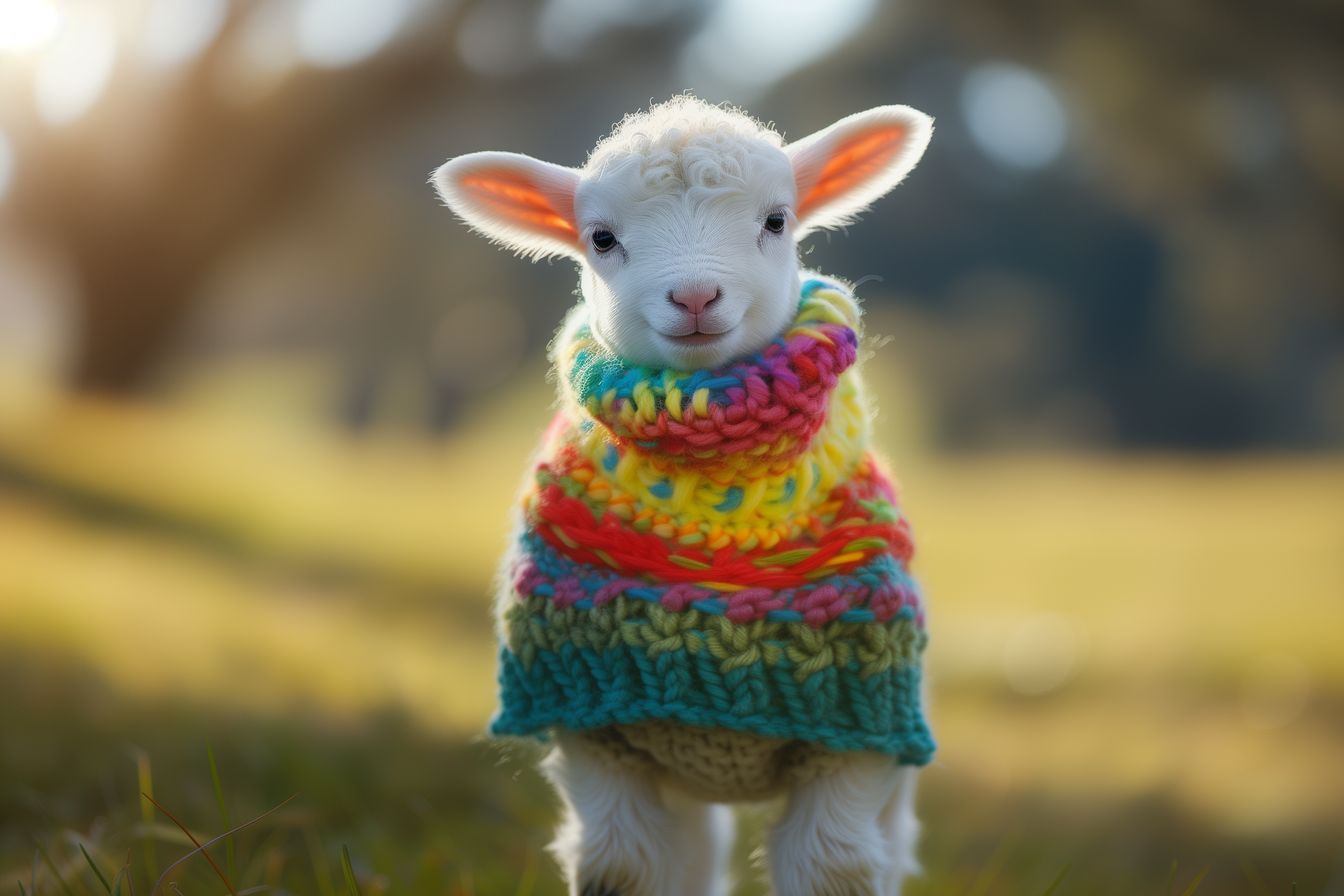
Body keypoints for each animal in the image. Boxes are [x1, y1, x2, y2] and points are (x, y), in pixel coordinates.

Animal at [430, 96, 935, 896]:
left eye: (777, 220)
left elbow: (835, 867)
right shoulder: (593, 727)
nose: (695, 295)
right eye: (602, 238)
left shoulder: (858, 738)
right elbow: (622, 866)